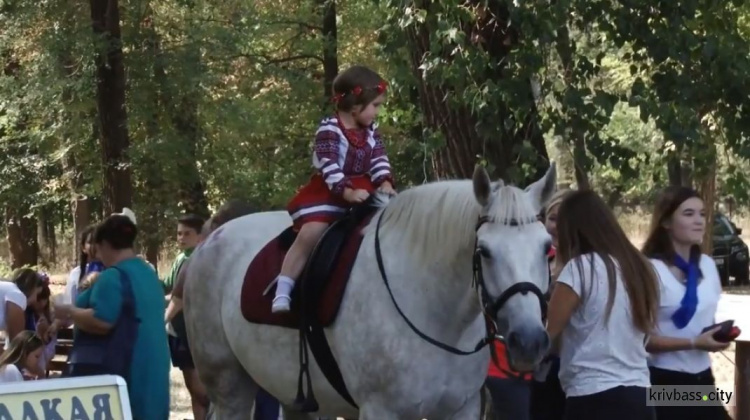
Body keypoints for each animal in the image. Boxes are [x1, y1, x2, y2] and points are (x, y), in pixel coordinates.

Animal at [183, 164, 560, 420]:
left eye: (547, 248)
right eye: (484, 251)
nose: (529, 341)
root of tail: (208, 242)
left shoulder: (460, 409)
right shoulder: (381, 410)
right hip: (229, 385)